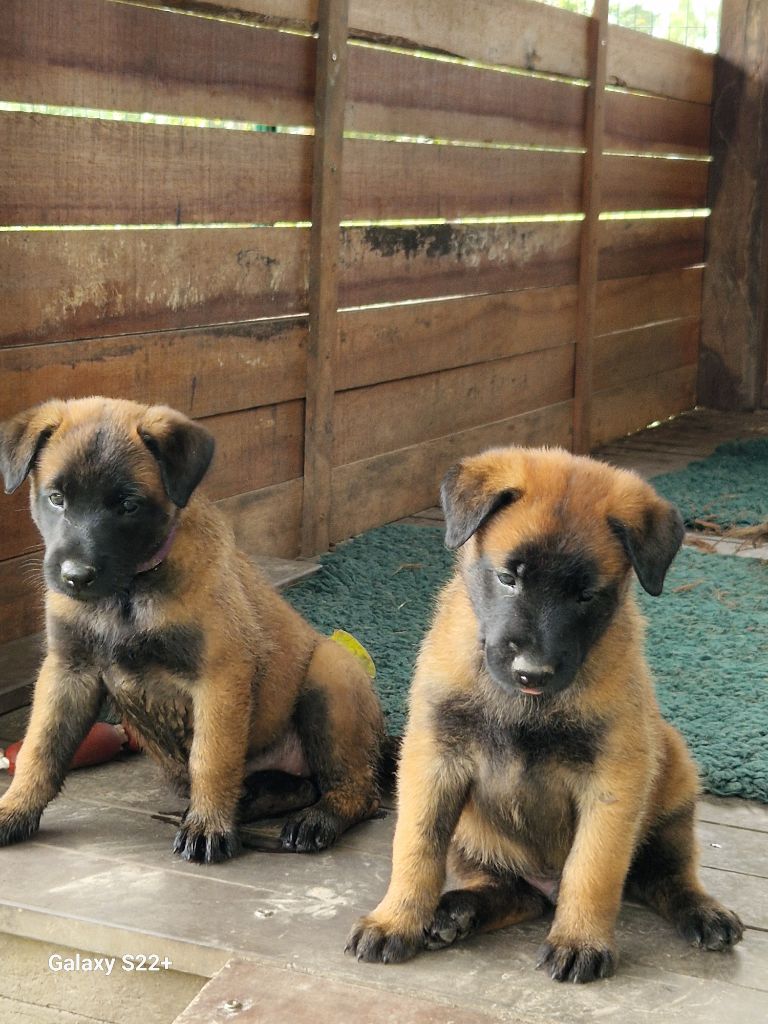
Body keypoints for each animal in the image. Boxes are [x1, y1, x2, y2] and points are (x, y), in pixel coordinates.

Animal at [0, 395, 385, 860]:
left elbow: (212, 757)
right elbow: (41, 749)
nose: (75, 577)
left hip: (331, 674)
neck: (127, 595)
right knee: (300, 786)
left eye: (128, 506)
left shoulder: (218, 677)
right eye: (56, 498)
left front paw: (208, 826)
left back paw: (314, 821)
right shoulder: (68, 671)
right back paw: (249, 802)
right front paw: (15, 809)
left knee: (356, 791)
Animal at [348, 446, 745, 974]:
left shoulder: (612, 781)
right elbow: (416, 848)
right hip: (475, 838)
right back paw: (456, 912)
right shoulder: (433, 760)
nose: (531, 673)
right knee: (510, 891)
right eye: (507, 578)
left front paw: (580, 940)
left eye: (586, 595)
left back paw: (704, 912)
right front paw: (394, 921)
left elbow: (593, 868)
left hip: (673, 783)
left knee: (668, 876)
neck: (525, 706)